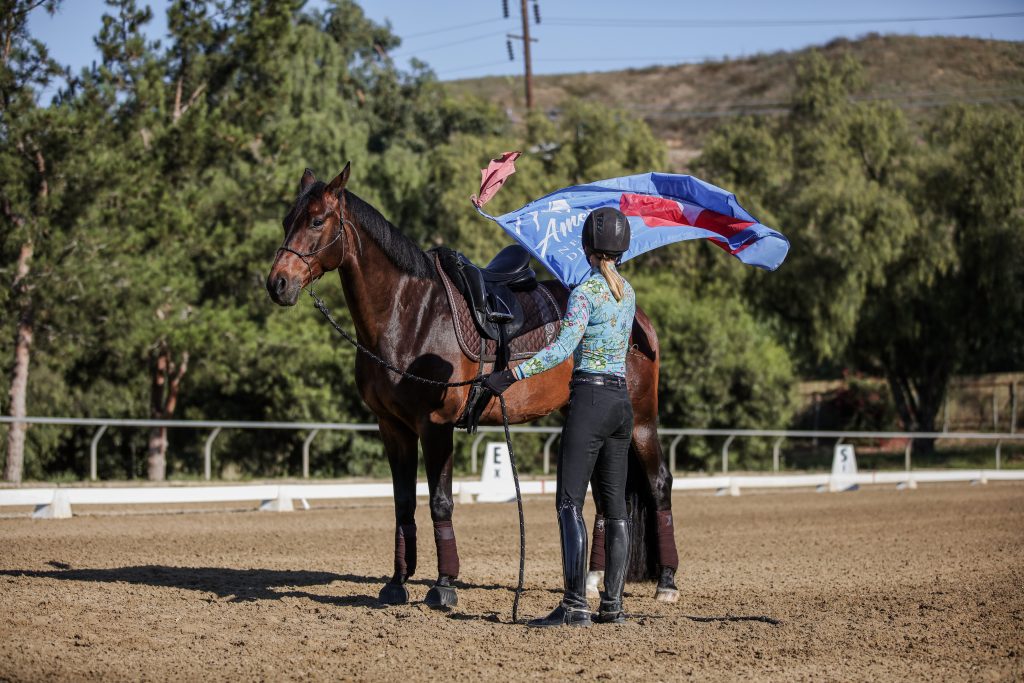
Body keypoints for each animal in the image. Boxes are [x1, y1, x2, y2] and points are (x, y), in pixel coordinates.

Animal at [265, 163, 679, 609]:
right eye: (286, 220)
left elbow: (440, 503)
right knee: (605, 499)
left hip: (640, 422)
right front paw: (397, 582)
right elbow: (403, 504)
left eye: (316, 221)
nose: (278, 284)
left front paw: (444, 585)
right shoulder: (392, 428)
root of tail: (641, 320)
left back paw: (666, 581)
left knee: (659, 484)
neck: (409, 314)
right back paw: (591, 579)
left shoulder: (435, 426)